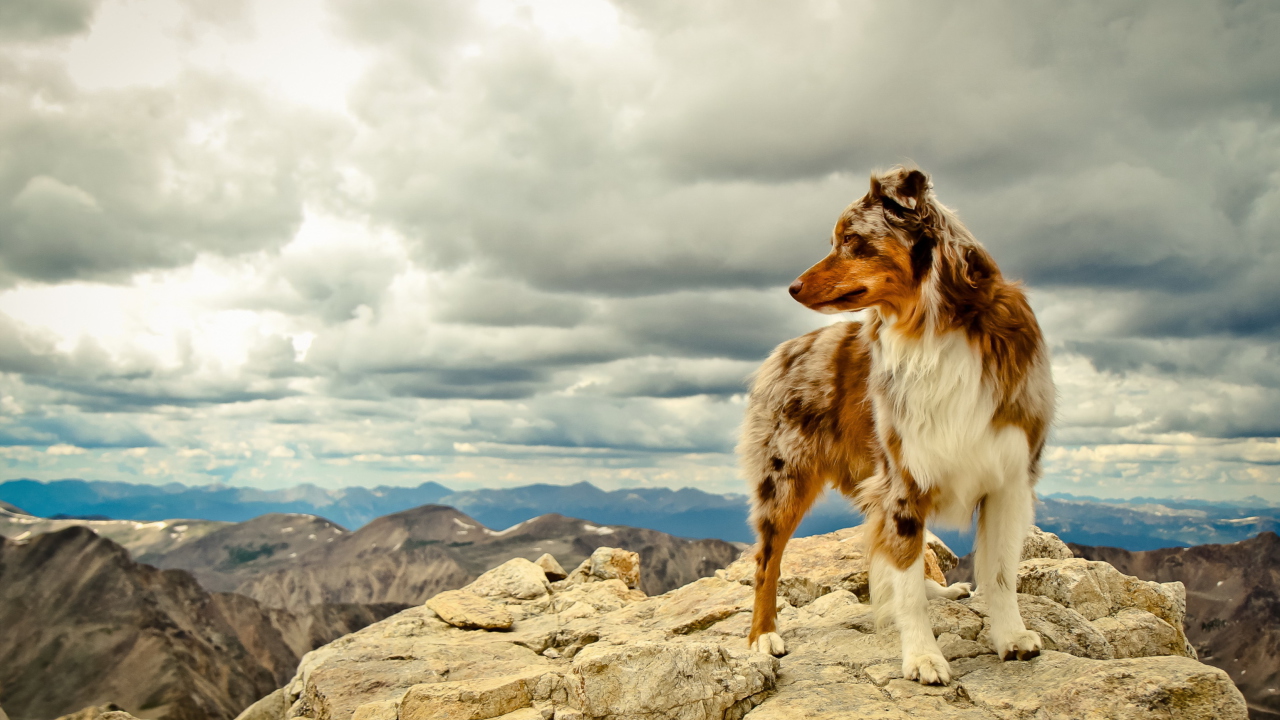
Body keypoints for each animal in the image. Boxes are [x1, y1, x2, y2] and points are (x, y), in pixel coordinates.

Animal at [737, 165, 1054, 681]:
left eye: (850, 239)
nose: (792, 287)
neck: (935, 328)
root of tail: (784, 351)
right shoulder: (903, 479)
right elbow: (904, 582)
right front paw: (923, 657)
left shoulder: (1008, 477)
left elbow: (1001, 572)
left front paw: (1011, 637)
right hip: (785, 479)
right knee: (768, 561)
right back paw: (762, 636)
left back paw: (941, 590)